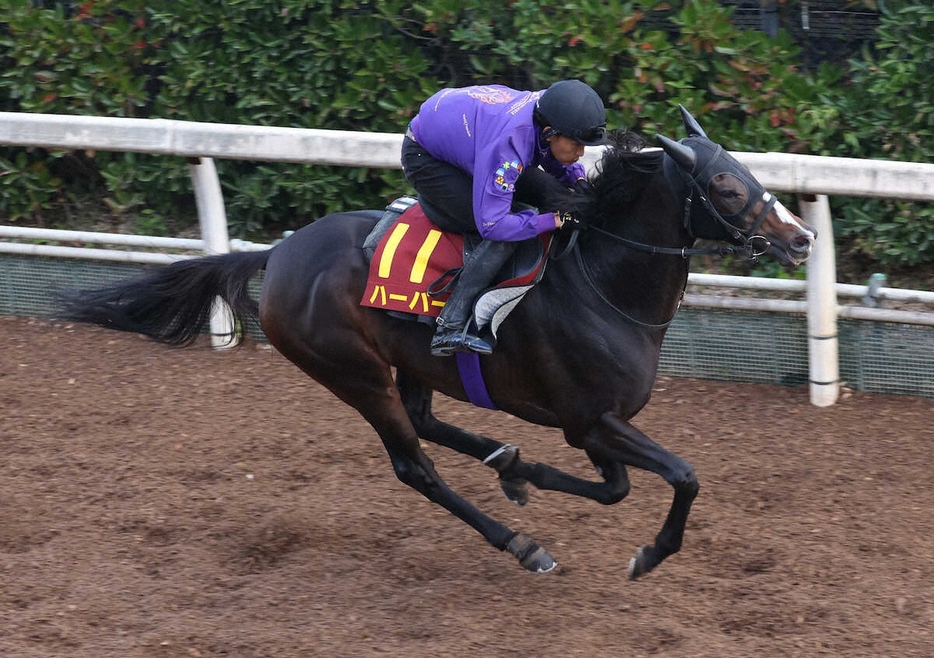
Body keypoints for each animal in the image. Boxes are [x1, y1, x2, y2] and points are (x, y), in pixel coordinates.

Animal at [62, 107, 816, 580]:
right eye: (725, 185)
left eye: (747, 170)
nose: (802, 238)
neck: (604, 287)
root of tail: (278, 255)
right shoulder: (588, 420)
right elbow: (677, 478)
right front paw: (648, 554)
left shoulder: (594, 425)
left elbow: (616, 488)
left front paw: (522, 471)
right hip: (353, 372)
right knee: (414, 464)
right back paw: (520, 544)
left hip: (410, 359)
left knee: (427, 421)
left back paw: (504, 459)